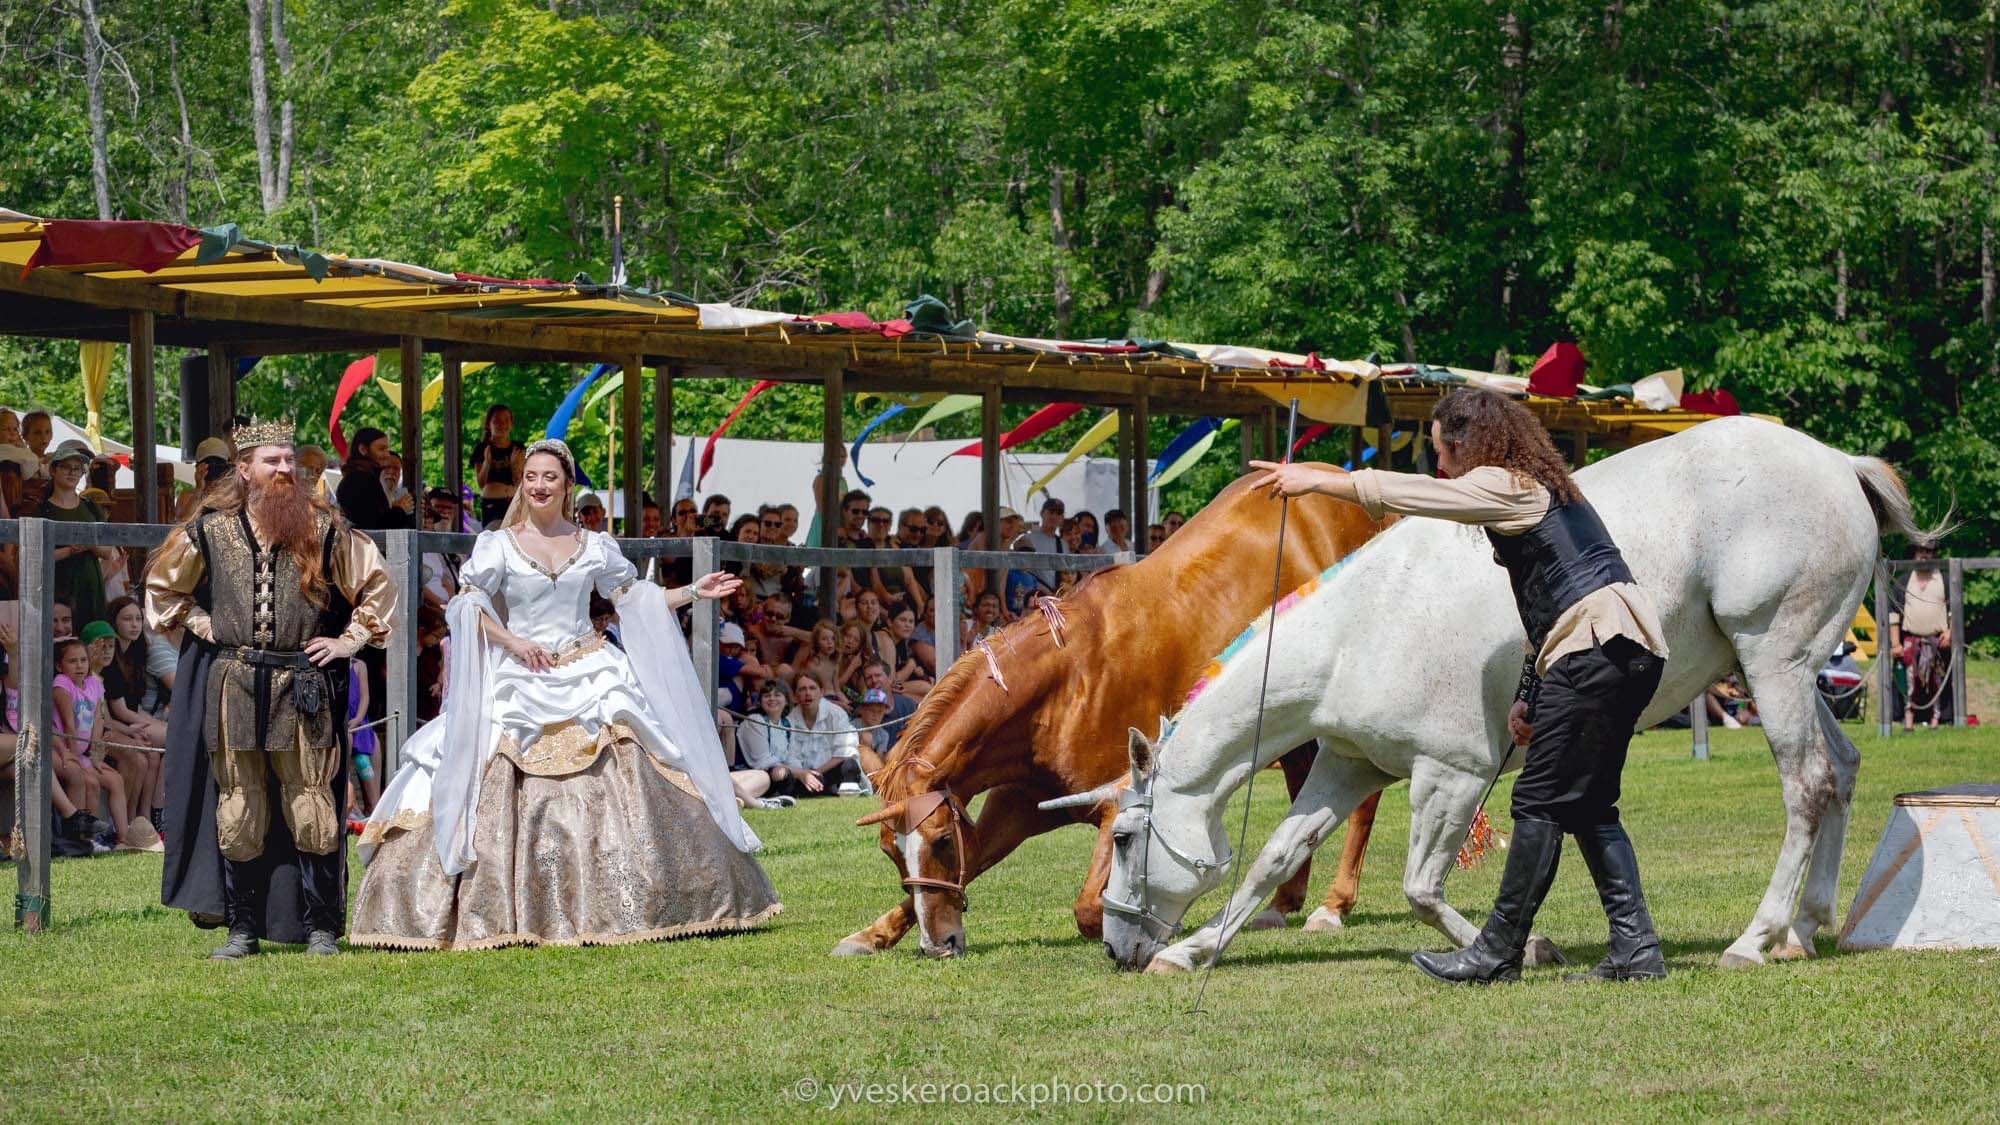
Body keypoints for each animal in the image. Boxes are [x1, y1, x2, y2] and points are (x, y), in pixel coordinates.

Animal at [832, 472, 1392, 952]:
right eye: (889, 850)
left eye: (944, 841)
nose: (941, 944)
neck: (1062, 688)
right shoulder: (1020, 803)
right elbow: (974, 862)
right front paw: (876, 933)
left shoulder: (1118, 797)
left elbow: (1086, 908)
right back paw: (1283, 901)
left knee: (1362, 798)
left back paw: (1332, 906)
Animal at [1048, 416, 1920, 968]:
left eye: (1123, 836)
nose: (1116, 946)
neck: (1357, 632)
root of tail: (1839, 463)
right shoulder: (1347, 764)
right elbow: (1272, 859)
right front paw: (1195, 949)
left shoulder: (1451, 774)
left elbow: (1421, 887)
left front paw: (1522, 945)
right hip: (1787, 672)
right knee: (1842, 770)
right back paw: (1807, 926)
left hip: (1771, 663)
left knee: (1807, 785)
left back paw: (1757, 936)